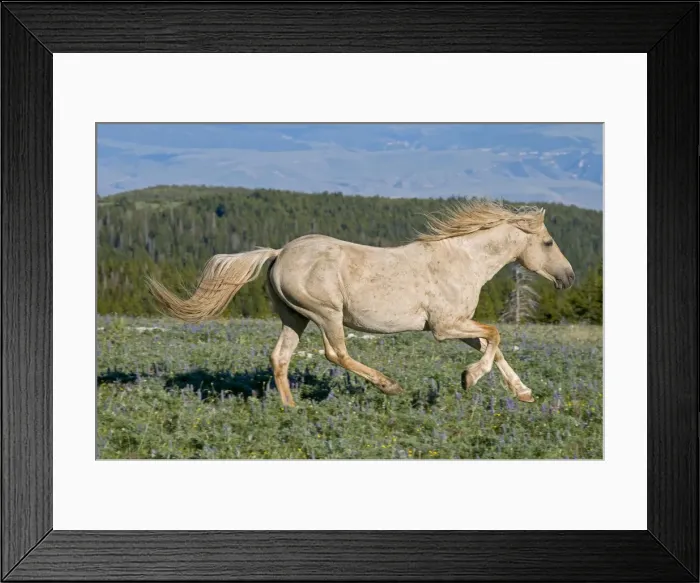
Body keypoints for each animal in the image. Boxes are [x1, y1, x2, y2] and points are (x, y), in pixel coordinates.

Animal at [146, 200, 575, 407]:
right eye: (548, 242)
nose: (569, 278)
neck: (462, 260)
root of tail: (279, 253)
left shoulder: (457, 325)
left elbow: (493, 345)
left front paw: (523, 393)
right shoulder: (444, 327)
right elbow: (496, 335)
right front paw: (469, 378)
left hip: (294, 317)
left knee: (280, 357)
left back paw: (291, 408)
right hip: (326, 313)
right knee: (336, 352)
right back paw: (390, 386)